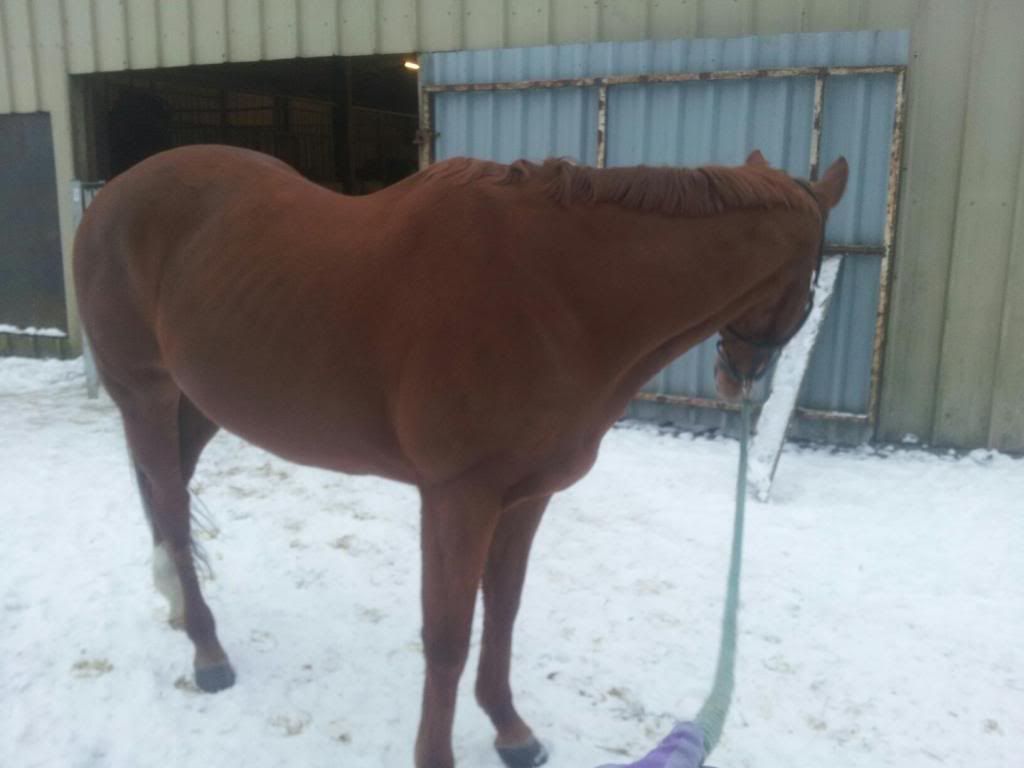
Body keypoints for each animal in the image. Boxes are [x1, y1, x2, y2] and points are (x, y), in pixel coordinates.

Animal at [73, 144, 847, 768]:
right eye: (811, 278)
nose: (739, 378)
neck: (559, 293)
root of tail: (110, 195)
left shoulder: (527, 495)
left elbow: (501, 612)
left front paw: (512, 731)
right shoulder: (457, 496)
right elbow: (446, 635)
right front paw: (438, 753)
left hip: (199, 402)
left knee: (167, 493)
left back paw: (179, 608)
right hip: (144, 392)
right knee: (171, 508)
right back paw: (208, 652)